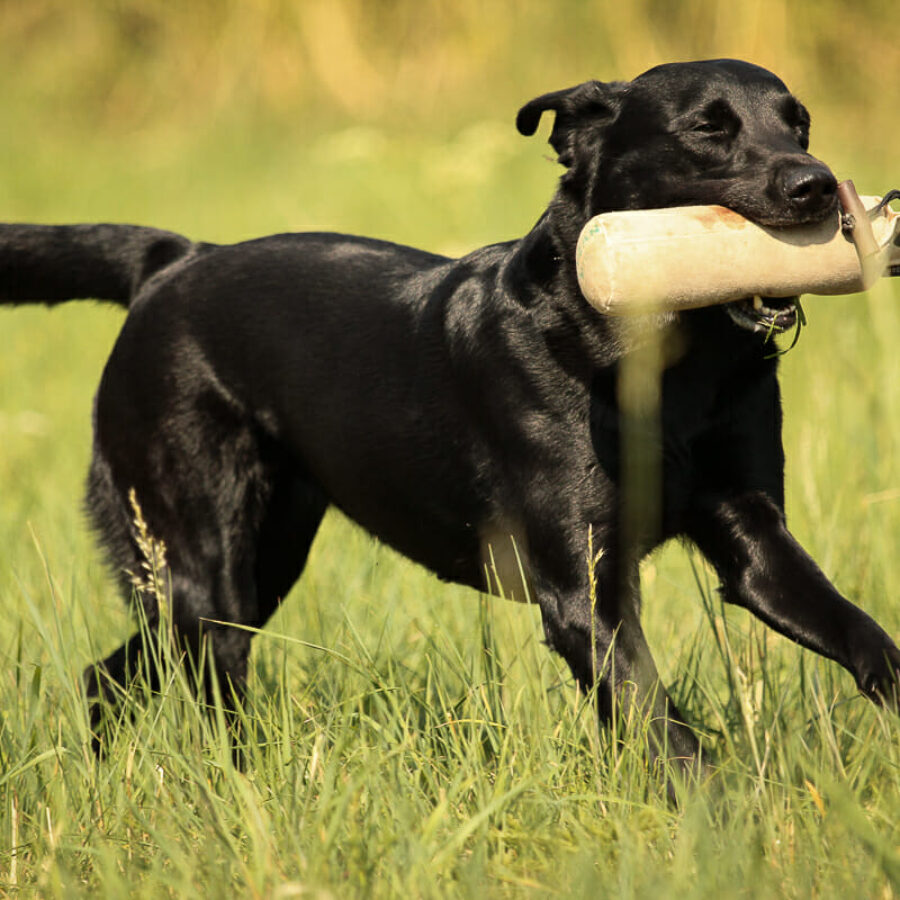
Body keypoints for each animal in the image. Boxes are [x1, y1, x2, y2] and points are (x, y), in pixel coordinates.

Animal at [1, 59, 900, 768]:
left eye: (799, 122)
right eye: (709, 129)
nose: (817, 183)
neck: (666, 365)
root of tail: (174, 261)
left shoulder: (753, 539)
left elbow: (861, 632)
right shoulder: (584, 592)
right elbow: (659, 724)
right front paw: (722, 823)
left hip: (259, 560)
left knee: (111, 677)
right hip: (202, 557)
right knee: (204, 687)